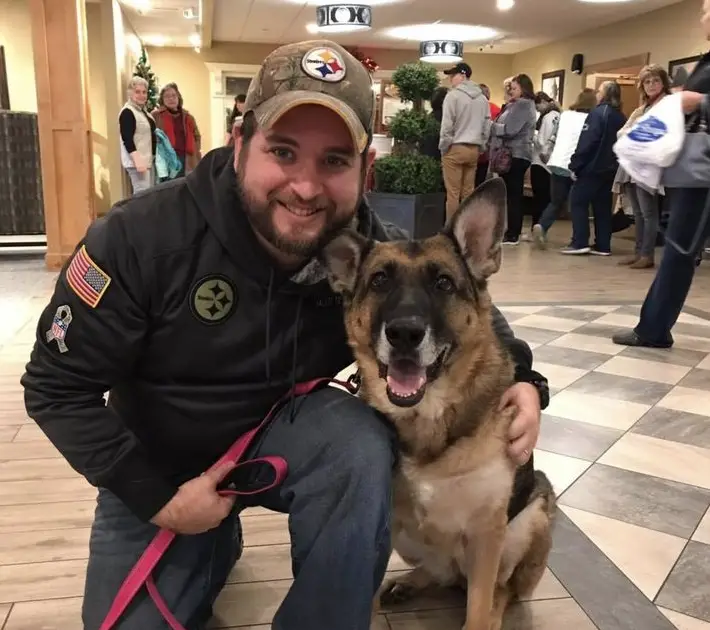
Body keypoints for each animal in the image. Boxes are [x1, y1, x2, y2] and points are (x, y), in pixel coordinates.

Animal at [322, 178, 560, 630]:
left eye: (444, 284)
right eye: (379, 281)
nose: (403, 334)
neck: (429, 417)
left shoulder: (487, 533)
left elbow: (480, 609)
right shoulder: (382, 527)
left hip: (533, 513)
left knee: (499, 591)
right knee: (439, 572)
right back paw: (409, 583)